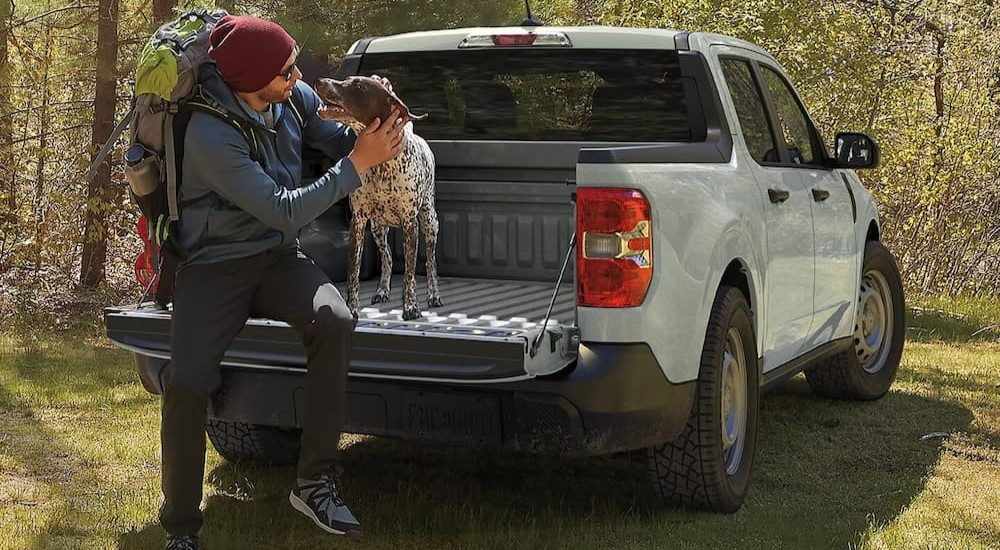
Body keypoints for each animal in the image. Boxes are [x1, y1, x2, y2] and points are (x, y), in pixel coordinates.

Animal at [312, 75, 438, 322]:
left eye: (359, 86)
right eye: (347, 80)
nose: (320, 81)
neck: (382, 165)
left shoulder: (410, 224)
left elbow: (410, 273)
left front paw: (411, 306)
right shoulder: (358, 223)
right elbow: (353, 272)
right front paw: (351, 308)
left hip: (429, 222)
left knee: (430, 262)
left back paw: (433, 294)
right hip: (378, 228)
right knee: (387, 257)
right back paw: (382, 290)